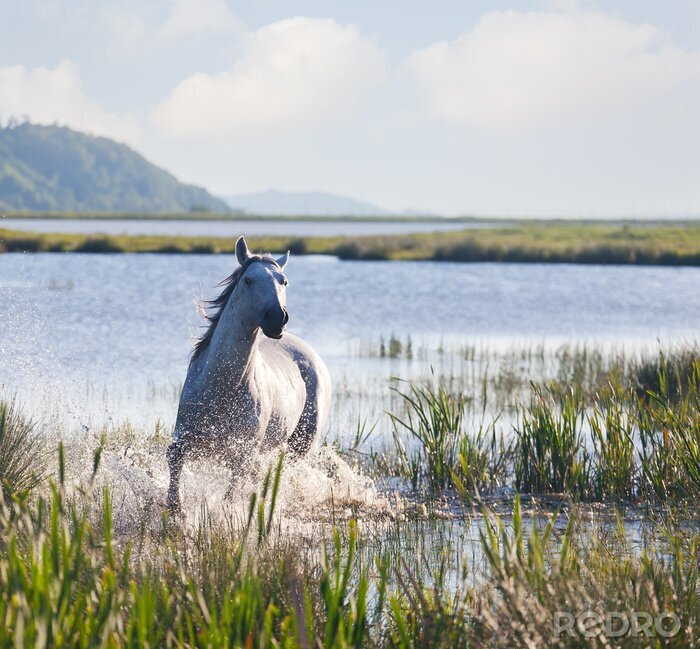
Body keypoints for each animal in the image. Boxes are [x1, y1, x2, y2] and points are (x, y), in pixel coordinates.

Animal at [166, 236, 332, 512]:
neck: (224, 385)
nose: (277, 318)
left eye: (283, 281)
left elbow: (230, 495)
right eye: (248, 280)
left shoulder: (242, 454)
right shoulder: (185, 436)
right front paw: (175, 507)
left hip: (301, 443)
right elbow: (174, 461)